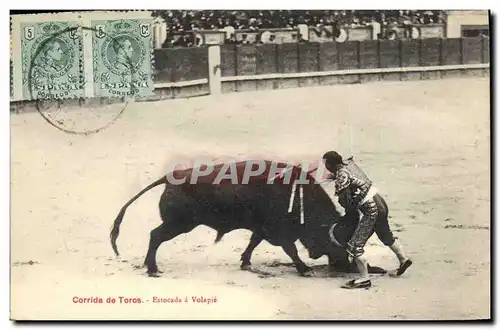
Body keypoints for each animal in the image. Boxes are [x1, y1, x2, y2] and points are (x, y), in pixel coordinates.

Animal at [109, 159, 382, 276]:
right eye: (334, 238)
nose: (344, 265)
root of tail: (171, 176)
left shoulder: (262, 229)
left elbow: (252, 243)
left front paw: (245, 263)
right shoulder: (278, 231)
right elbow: (291, 250)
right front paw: (304, 269)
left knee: (154, 236)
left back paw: (149, 266)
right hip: (179, 224)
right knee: (155, 236)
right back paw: (153, 269)